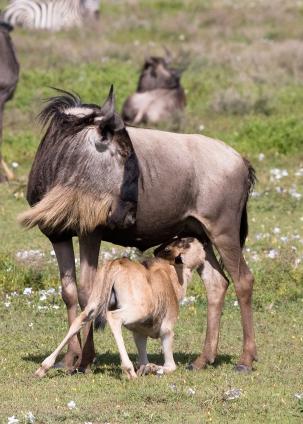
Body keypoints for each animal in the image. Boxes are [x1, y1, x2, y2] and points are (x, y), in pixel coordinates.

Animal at [35, 237, 207, 380]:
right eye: (185, 242)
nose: (202, 242)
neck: (170, 276)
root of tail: (115, 263)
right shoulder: (167, 331)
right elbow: (171, 366)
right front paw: (152, 368)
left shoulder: (139, 334)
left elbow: (144, 360)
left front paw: (146, 368)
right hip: (137, 310)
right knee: (113, 318)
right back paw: (129, 370)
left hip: (95, 302)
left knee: (79, 320)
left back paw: (43, 368)